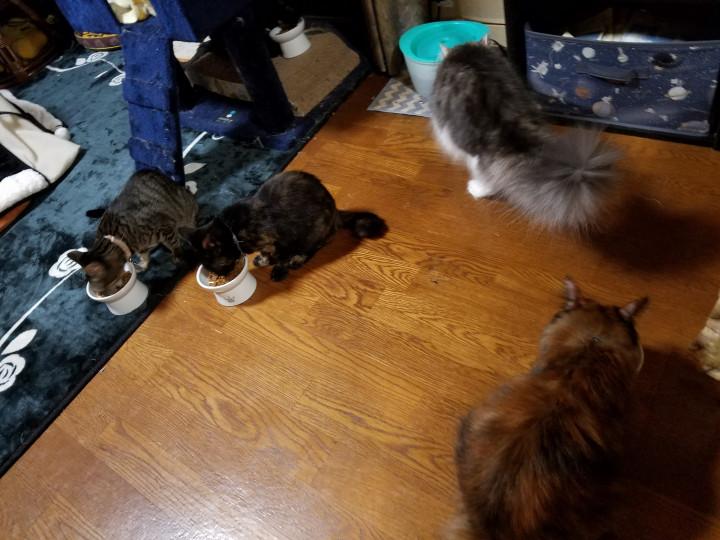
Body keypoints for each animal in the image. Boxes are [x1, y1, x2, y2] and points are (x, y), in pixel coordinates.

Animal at [68, 169, 198, 296]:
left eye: (102, 291)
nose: (100, 295)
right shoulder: (142, 247)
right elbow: (144, 256)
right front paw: (143, 265)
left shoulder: (164, 226)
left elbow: (173, 244)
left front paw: (177, 255)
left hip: (185, 212)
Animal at [182, 170, 387, 282]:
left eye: (217, 265)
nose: (223, 274)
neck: (231, 229)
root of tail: (336, 210)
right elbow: (267, 252)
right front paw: (263, 260)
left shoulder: (284, 238)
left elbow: (281, 257)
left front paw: (279, 269)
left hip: (316, 230)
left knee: (313, 248)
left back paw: (297, 260)